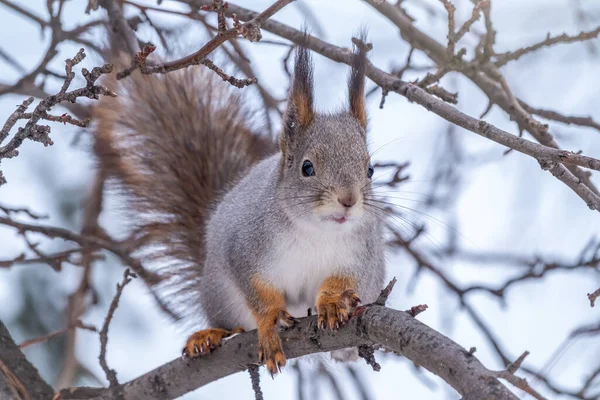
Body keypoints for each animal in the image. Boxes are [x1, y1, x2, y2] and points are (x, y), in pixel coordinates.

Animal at [92, 40, 386, 376]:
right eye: (307, 168)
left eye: (370, 170)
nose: (348, 200)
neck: (316, 231)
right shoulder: (244, 249)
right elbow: (258, 293)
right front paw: (270, 322)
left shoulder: (361, 255)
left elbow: (345, 280)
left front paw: (335, 302)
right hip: (219, 292)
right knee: (234, 325)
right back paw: (212, 334)